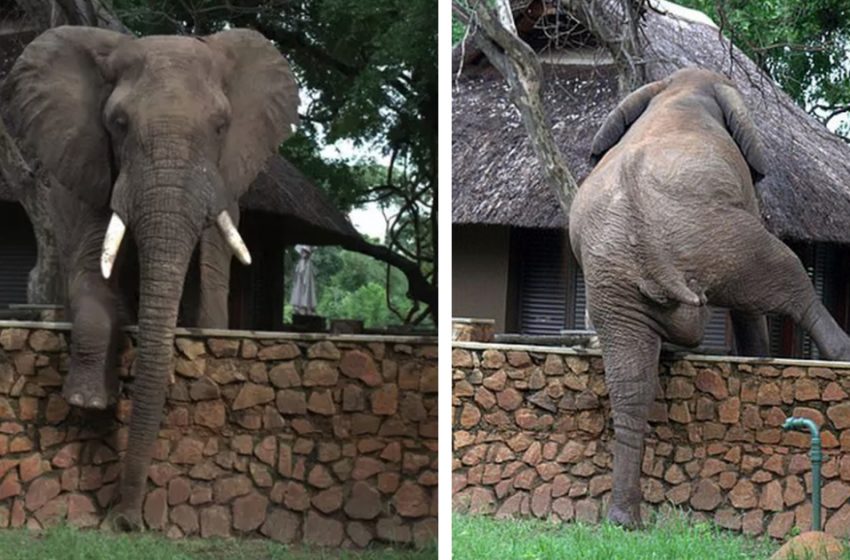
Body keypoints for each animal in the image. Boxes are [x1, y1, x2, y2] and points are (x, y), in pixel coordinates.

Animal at [1, 26, 298, 532]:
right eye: (118, 123)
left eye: (221, 126)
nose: (126, 522)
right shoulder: (90, 171)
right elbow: (92, 278)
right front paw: (87, 401)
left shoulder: (225, 184)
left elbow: (211, 291)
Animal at [568, 68, 850, 528]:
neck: (679, 88)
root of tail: (641, 219)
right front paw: (759, 358)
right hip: (722, 236)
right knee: (787, 273)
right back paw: (842, 352)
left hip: (613, 278)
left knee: (630, 383)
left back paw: (625, 521)